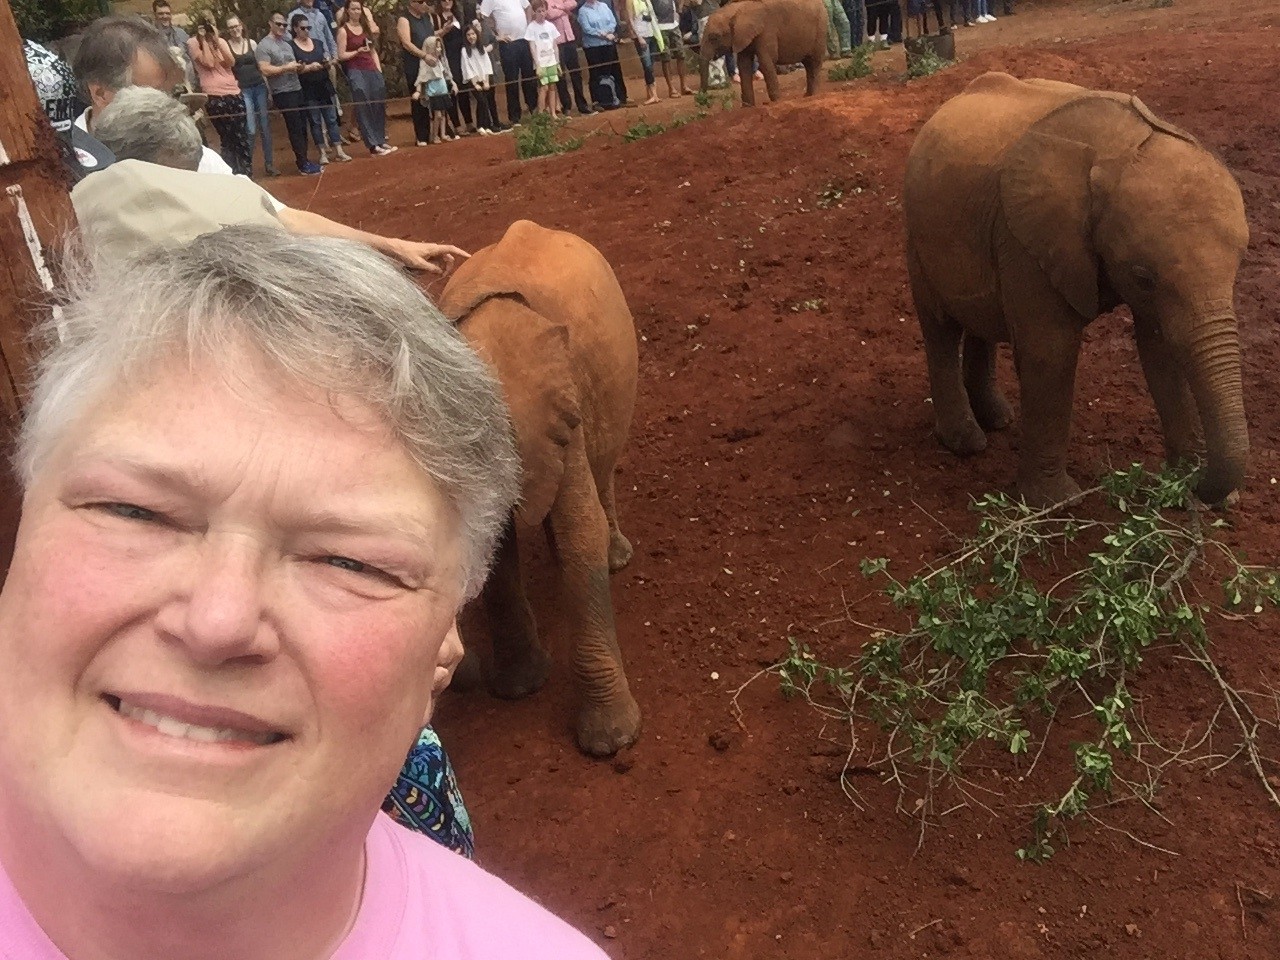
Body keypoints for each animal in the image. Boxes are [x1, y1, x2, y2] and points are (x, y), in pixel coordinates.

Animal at [701, 0, 829, 106]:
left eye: (714, 38)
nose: (705, 102)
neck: (738, 9)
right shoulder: (742, 37)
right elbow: (744, 65)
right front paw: (747, 107)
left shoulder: (767, 30)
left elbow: (766, 62)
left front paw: (777, 101)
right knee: (808, 64)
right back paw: (807, 95)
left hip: (821, 29)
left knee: (814, 62)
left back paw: (813, 95)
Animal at [901, 74, 1249, 506]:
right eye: (1142, 277)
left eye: (1241, 262)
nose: (1200, 486)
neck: (1120, 149)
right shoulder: (1026, 239)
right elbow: (1051, 351)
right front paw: (1057, 503)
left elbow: (1161, 348)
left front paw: (1187, 488)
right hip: (917, 232)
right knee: (941, 328)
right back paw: (967, 443)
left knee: (984, 320)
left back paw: (999, 419)